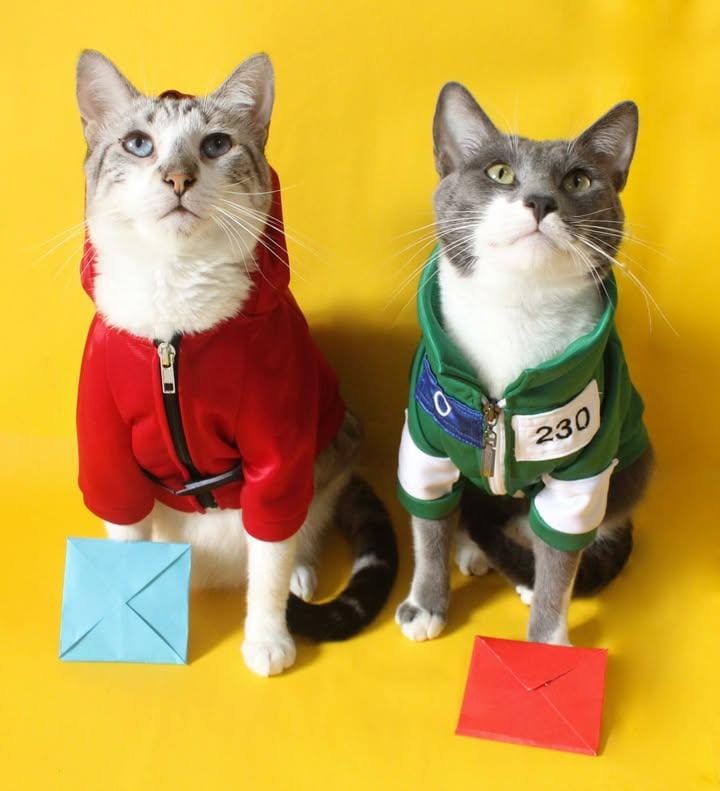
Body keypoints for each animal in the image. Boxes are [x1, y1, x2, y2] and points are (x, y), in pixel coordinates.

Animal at [74, 50, 397, 676]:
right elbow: (123, 532)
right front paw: (124, 626)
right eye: (139, 144)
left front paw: (268, 639)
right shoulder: (105, 446)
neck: (173, 327)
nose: (178, 178)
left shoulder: (278, 450)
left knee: (297, 535)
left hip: (334, 447)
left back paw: (300, 574)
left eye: (216, 145)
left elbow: (268, 560)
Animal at [395, 82, 653, 646]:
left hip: (634, 465)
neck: (516, 309)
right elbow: (428, 526)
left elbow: (561, 556)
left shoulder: (584, 469)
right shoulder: (425, 443)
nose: (540, 200)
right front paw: (425, 603)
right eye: (499, 172)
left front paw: (548, 641)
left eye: (579, 179)